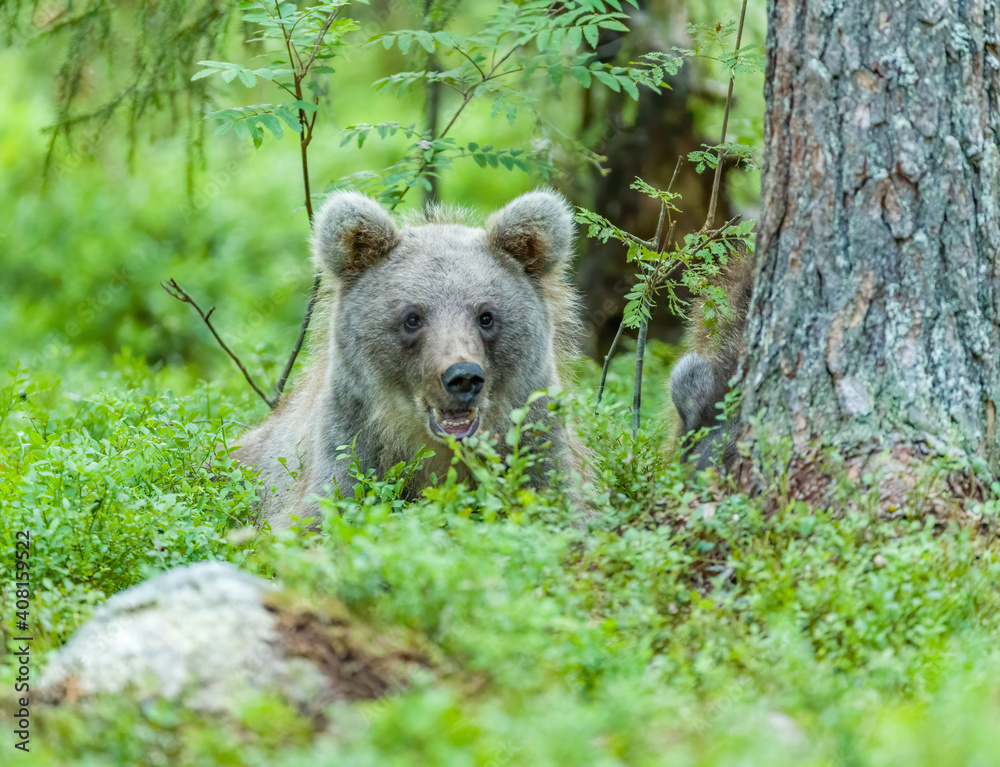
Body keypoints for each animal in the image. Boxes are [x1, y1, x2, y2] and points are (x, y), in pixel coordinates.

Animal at [233, 188, 585, 529]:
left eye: (486, 316)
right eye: (412, 317)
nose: (463, 377)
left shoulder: (534, 442)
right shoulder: (351, 444)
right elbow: (322, 515)